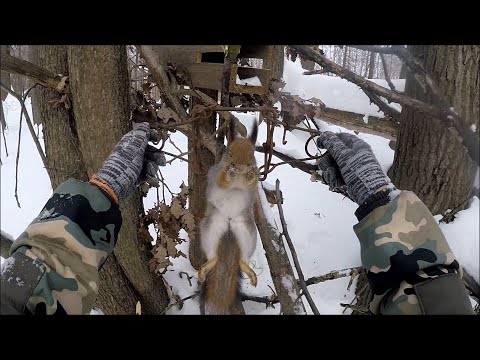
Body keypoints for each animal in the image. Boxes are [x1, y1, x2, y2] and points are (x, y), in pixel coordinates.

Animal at [198, 119, 260, 314]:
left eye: (252, 156)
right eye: (230, 153)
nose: (239, 167)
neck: (238, 180)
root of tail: (229, 223)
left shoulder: (254, 183)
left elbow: (252, 182)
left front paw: (249, 174)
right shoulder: (215, 173)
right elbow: (222, 180)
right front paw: (229, 174)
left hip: (248, 232)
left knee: (243, 258)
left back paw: (247, 268)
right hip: (211, 227)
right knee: (213, 256)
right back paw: (208, 265)